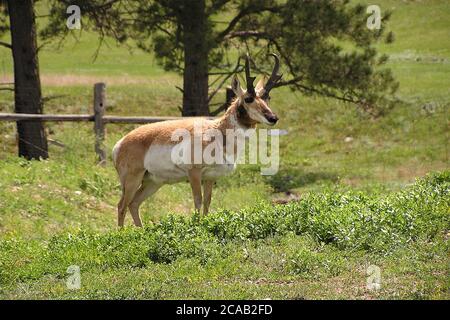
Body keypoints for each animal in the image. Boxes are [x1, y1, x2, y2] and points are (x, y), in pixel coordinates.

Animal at [112, 53, 282, 226]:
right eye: (248, 98)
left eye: (267, 97)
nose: (273, 118)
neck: (218, 132)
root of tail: (120, 144)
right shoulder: (194, 173)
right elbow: (197, 201)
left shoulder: (210, 177)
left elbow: (207, 202)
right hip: (132, 179)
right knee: (122, 205)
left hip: (152, 181)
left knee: (134, 204)